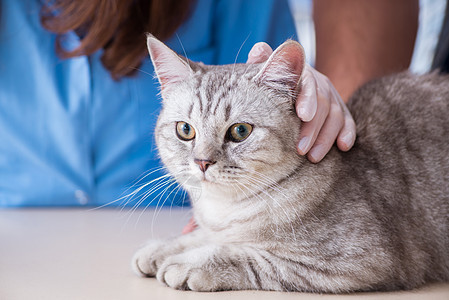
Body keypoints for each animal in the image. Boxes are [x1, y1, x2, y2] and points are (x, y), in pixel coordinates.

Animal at [132, 34, 448, 292]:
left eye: (240, 131)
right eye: (185, 130)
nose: (202, 162)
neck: (225, 209)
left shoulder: (358, 260)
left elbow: (245, 254)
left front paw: (189, 262)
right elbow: (204, 236)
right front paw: (165, 247)